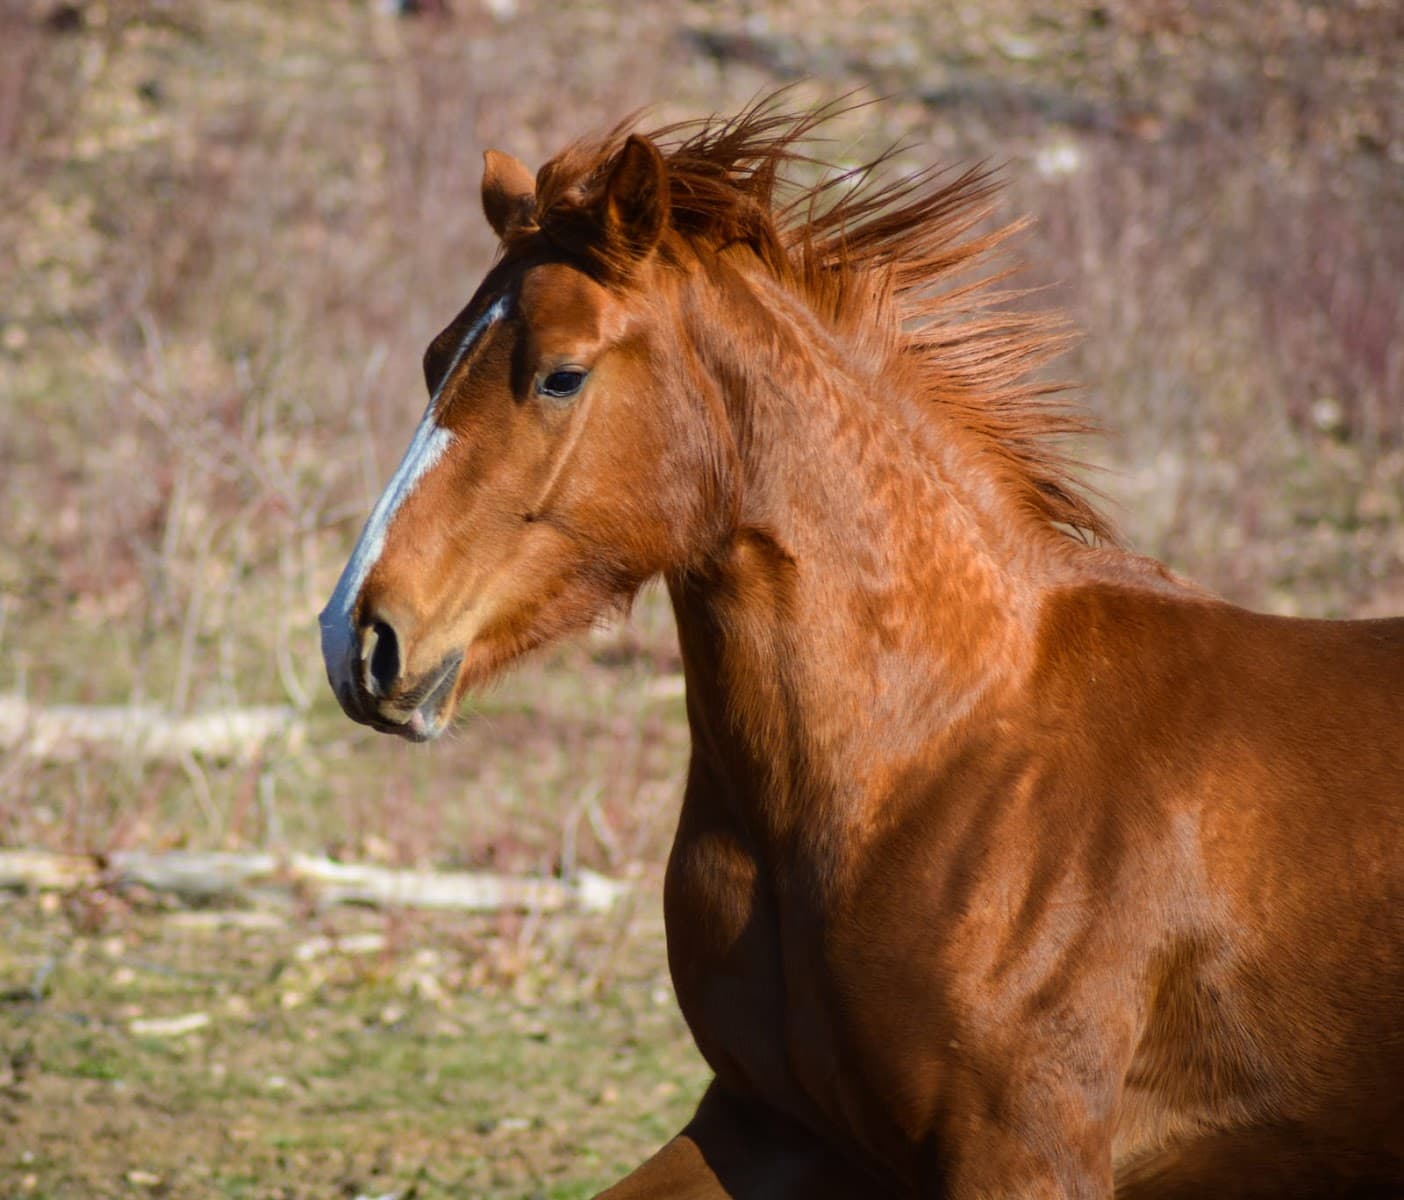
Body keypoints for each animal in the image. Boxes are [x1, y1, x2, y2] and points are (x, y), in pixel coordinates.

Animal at [319, 98, 1404, 1198]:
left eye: (560, 375)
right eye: (434, 358)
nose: (358, 638)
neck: (932, 754)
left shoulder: (1023, 1152)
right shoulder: (768, 1124)